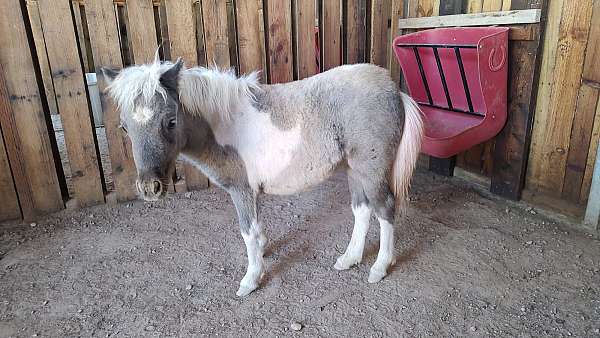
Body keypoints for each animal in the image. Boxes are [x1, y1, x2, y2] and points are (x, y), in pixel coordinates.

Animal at [103, 58, 422, 296]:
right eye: (124, 127)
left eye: (170, 121)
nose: (149, 187)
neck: (224, 123)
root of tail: (394, 90)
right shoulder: (253, 192)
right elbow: (257, 230)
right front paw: (264, 250)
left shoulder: (241, 190)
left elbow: (248, 232)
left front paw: (251, 279)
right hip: (355, 170)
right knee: (362, 210)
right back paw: (349, 258)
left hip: (372, 170)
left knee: (385, 209)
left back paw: (380, 267)